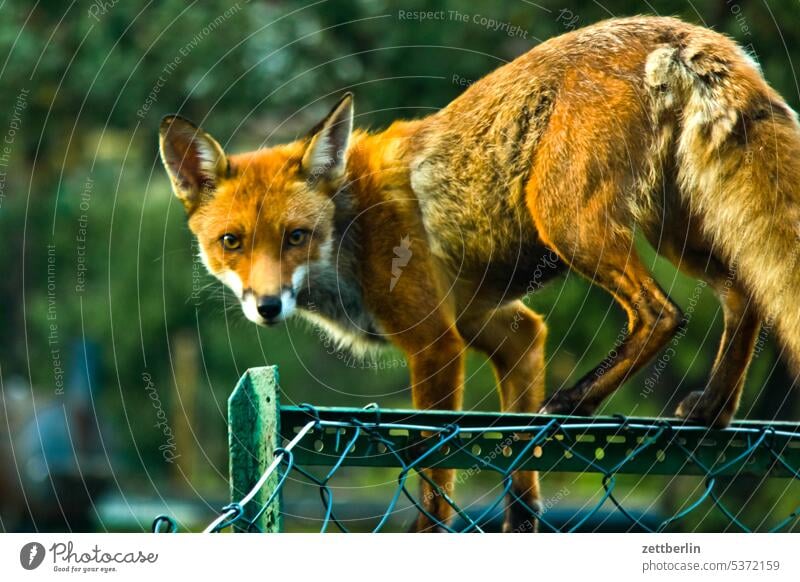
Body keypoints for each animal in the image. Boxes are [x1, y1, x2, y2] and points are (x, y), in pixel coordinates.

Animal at [159, 14, 800, 532]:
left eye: (296, 237)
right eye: (231, 243)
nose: (267, 306)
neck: (351, 226)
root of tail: (674, 29)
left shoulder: (436, 343)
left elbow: (433, 472)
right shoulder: (503, 328)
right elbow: (520, 466)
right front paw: (521, 525)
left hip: (565, 218)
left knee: (664, 312)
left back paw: (577, 401)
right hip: (676, 228)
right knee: (744, 295)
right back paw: (713, 408)